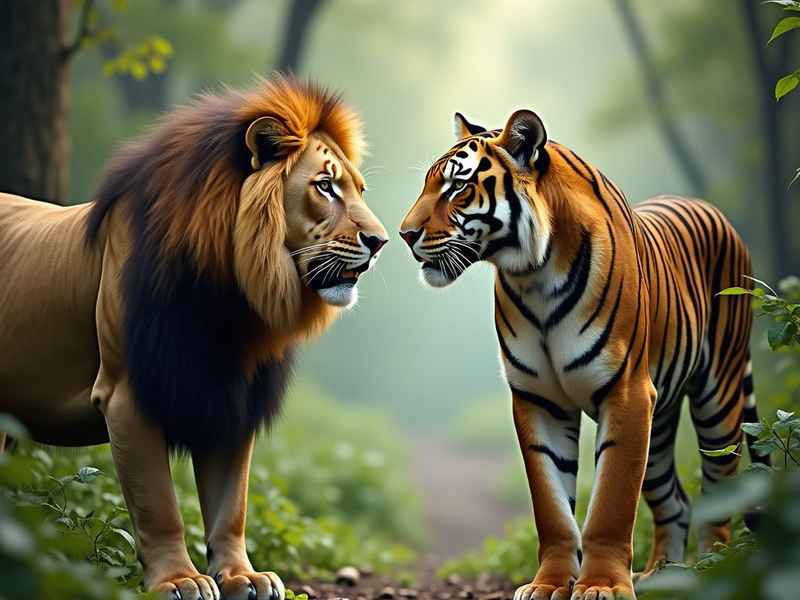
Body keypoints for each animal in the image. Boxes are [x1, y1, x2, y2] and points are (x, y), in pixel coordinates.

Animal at [399, 109, 767, 600]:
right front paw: (548, 584)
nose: (404, 234)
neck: (533, 276)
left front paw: (602, 585)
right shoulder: (538, 400)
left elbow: (612, 501)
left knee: (720, 492)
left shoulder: (627, 393)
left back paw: (712, 572)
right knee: (675, 500)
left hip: (717, 397)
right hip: (660, 418)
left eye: (457, 186)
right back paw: (662, 576)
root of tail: (713, 210)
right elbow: (552, 507)